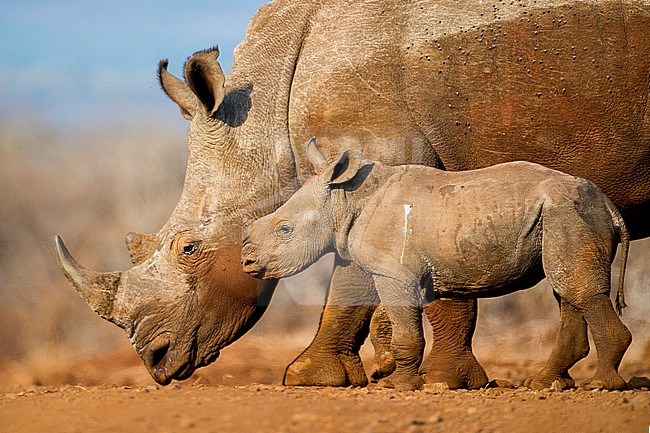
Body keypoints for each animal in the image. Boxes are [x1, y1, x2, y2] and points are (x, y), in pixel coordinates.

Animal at [242, 139, 628, 392]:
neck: (346, 199)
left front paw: (397, 386)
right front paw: (390, 373)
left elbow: (405, 331)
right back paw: (545, 385)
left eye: (285, 229)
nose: (247, 262)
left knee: (579, 290)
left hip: (569, 212)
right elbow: (391, 321)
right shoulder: (401, 271)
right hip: (564, 214)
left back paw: (601, 386)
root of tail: (610, 206)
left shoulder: (393, 272)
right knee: (566, 290)